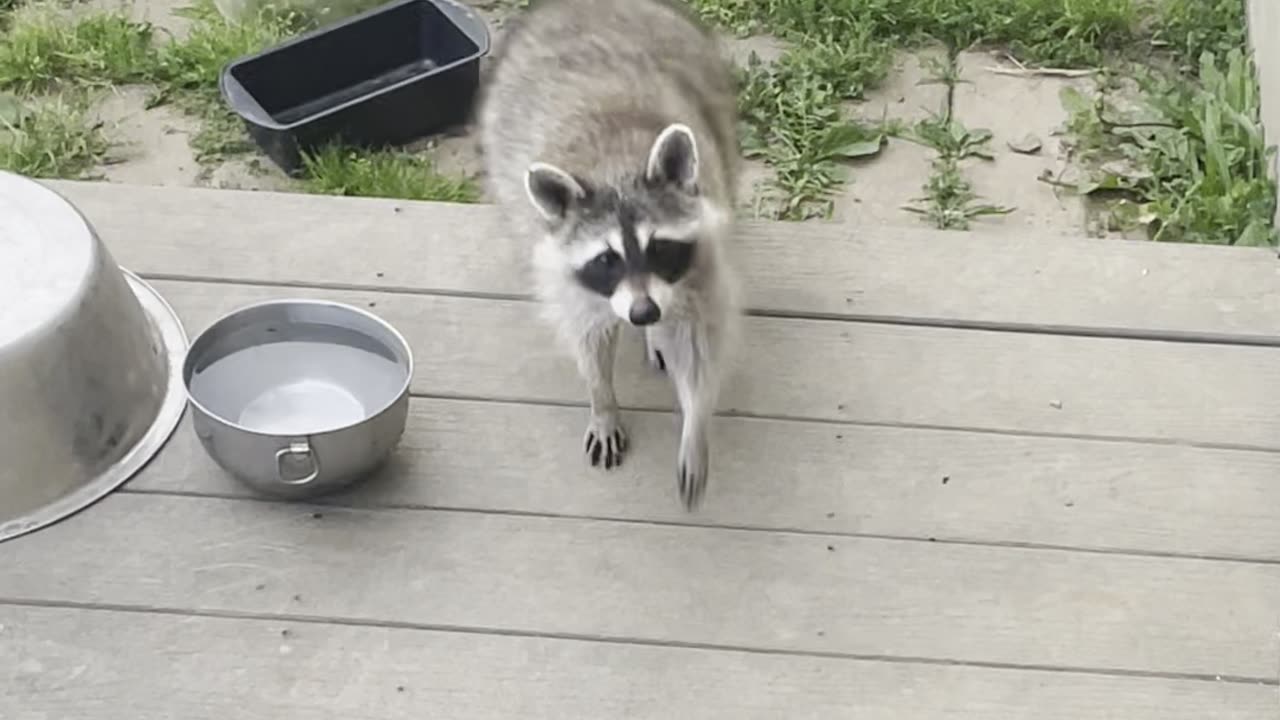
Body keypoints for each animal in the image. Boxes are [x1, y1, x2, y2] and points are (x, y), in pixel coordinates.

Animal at [478, 0, 742, 507]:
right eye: (606, 260)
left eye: (659, 248)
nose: (643, 313)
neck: (617, 171)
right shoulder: (566, 269)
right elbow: (586, 336)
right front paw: (602, 400)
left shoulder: (702, 258)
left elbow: (699, 344)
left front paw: (695, 427)